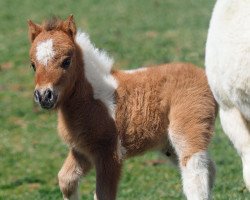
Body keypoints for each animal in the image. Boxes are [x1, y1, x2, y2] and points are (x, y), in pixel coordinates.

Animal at [27, 16, 217, 200]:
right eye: (33, 65)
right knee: (210, 170)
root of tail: (204, 75)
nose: (44, 96)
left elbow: (103, 195)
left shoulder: (110, 154)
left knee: (195, 173)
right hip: (167, 145)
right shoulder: (81, 151)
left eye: (67, 61)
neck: (92, 98)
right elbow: (66, 181)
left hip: (186, 130)